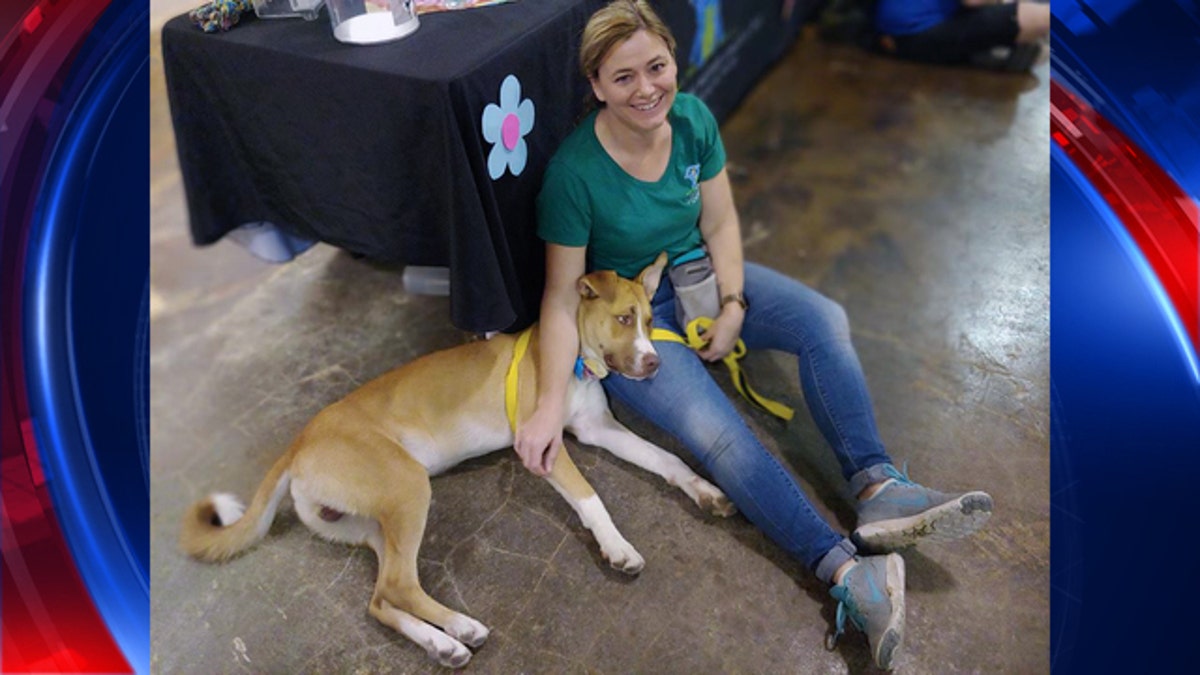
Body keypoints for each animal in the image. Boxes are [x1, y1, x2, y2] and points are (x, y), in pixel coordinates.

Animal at [181, 253, 734, 667]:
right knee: (400, 584)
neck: (572, 358)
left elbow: (666, 458)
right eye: (623, 318)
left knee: (381, 597)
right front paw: (617, 548)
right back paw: (459, 627)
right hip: (407, 487)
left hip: (369, 523)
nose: (655, 363)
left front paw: (704, 490)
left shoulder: (598, 429)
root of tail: (299, 441)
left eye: (651, 320)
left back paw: (445, 641)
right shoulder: (544, 447)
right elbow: (590, 498)